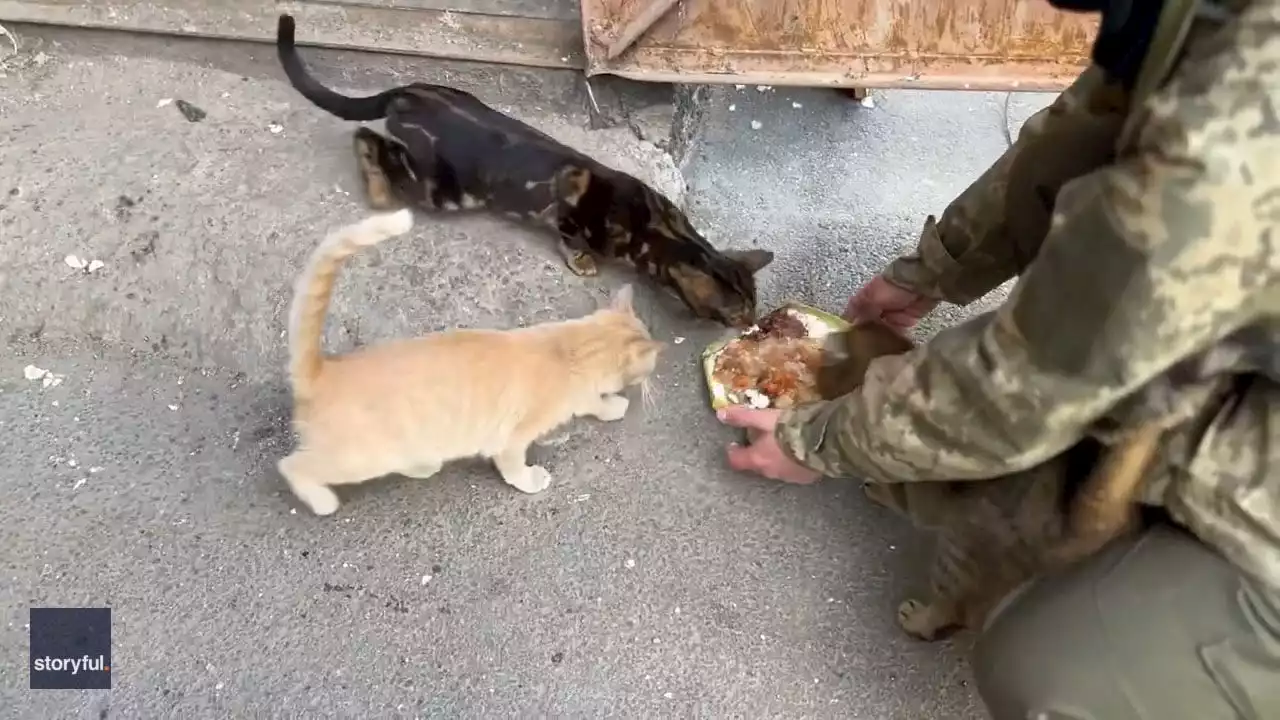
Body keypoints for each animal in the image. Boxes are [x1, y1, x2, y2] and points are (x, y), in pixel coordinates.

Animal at [276, 14, 773, 327]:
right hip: (443, 188)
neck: (659, 231)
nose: (750, 327)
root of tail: (408, 91)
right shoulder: (570, 209)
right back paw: (378, 188)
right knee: (366, 138)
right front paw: (582, 261)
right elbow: (570, 236)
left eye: (755, 306)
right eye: (736, 313)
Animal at [277, 207, 660, 515]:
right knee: (292, 465)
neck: (571, 349)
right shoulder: (512, 439)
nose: (650, 382)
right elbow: (514, 466)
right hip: (358, 457)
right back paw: (322, 501)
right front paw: (531, 480)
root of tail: (324, 370)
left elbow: (593, 401)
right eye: (650, 368)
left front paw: (611, 406)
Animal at [814, 319, 1167, 638]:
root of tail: (1075, 525)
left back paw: (918, 620)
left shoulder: (917, 497)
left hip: (959, 549)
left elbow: (895, 494)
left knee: (952, 609)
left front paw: (875, 488)